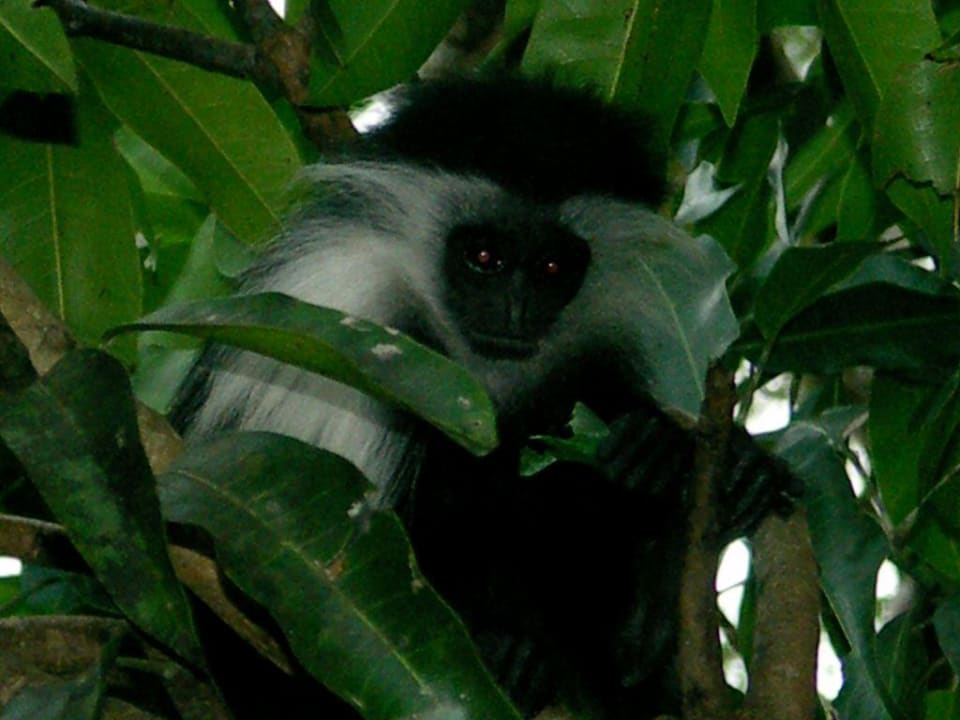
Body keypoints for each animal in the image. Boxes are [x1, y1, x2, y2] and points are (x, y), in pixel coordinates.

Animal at [172, 76, 798, 719]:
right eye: (483, 257)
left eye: (552, 266)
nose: (515, 309)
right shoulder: (344, 332)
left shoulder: (595, 360)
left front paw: (683, 456)